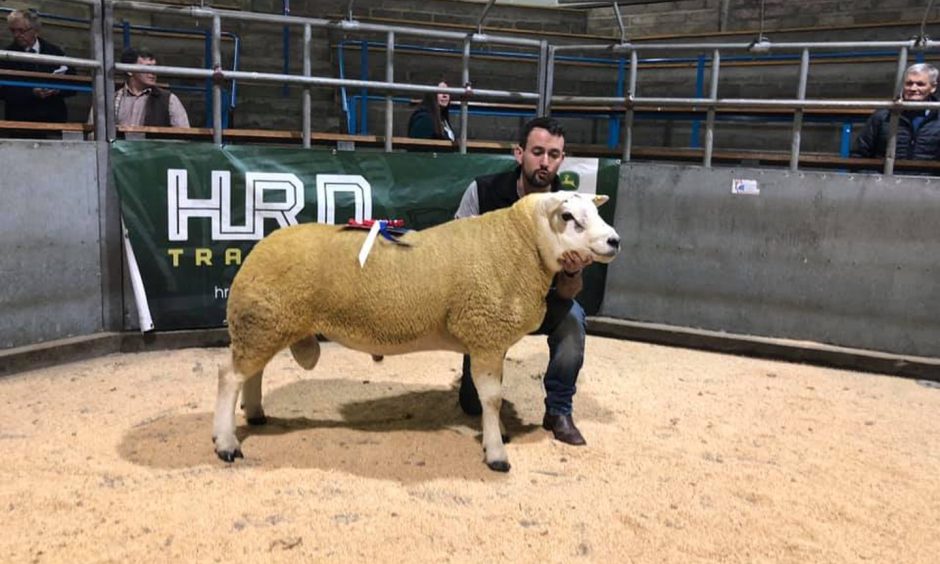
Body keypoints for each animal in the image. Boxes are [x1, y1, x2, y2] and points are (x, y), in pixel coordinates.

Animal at [216, 191, 620, 472]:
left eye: (597, 211)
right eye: (568, 216)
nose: (614, 241)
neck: (519, 245)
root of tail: (259, 248)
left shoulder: (490, 336)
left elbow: (493, 396)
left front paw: (497, 434)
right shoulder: (485, 331)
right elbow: (491, 398)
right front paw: (496, 454)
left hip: (267, 322)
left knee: (252, 373)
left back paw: (255, 414)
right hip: (263, 320)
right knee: (229, 376)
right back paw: (226, 443)